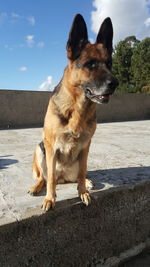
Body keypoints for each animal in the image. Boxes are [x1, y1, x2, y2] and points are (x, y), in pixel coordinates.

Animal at [27, 14, 117, 211]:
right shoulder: (51, 147)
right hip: (40, 149)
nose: (115, 83)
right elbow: (50, 179)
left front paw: (83, 192)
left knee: (79, 175)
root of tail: (64, 178)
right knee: (45, 177)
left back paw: (87, 182)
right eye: (91, 64)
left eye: (109, 63)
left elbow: (82, 173)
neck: (77, 108)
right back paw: (37, 187)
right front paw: (50, 199)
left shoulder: (86, 146)